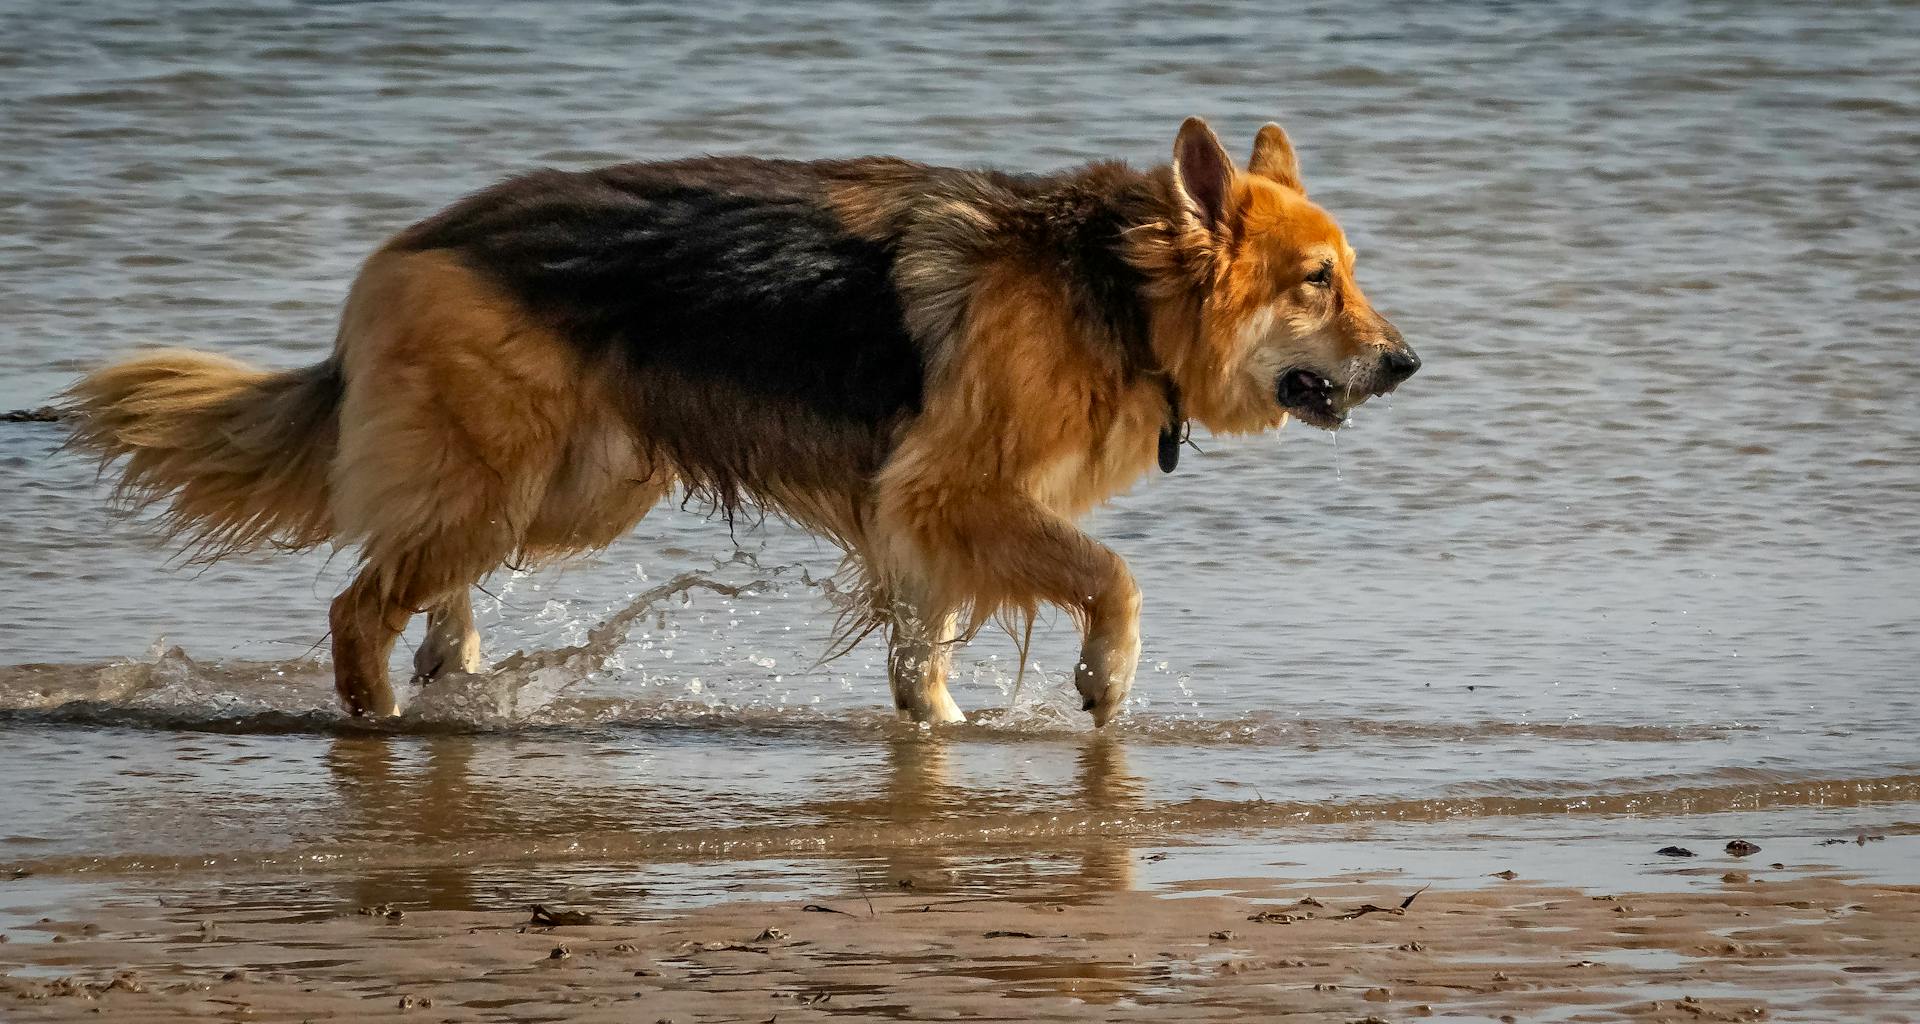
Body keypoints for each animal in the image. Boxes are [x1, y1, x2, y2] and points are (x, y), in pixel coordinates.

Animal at [63, 117, 1413, 726]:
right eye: (1317, 283)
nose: (1407, 364)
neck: (1120, 290)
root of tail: (408, 247)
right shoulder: (955, 494)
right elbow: (1113, 576)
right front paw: (1103, 675)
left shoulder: (922, 522)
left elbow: (922, 647)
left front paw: (933, 733)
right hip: (512, 486)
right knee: (358, 604)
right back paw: (379, 719)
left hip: (566, 494)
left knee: (418, 581)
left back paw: (458, 672)